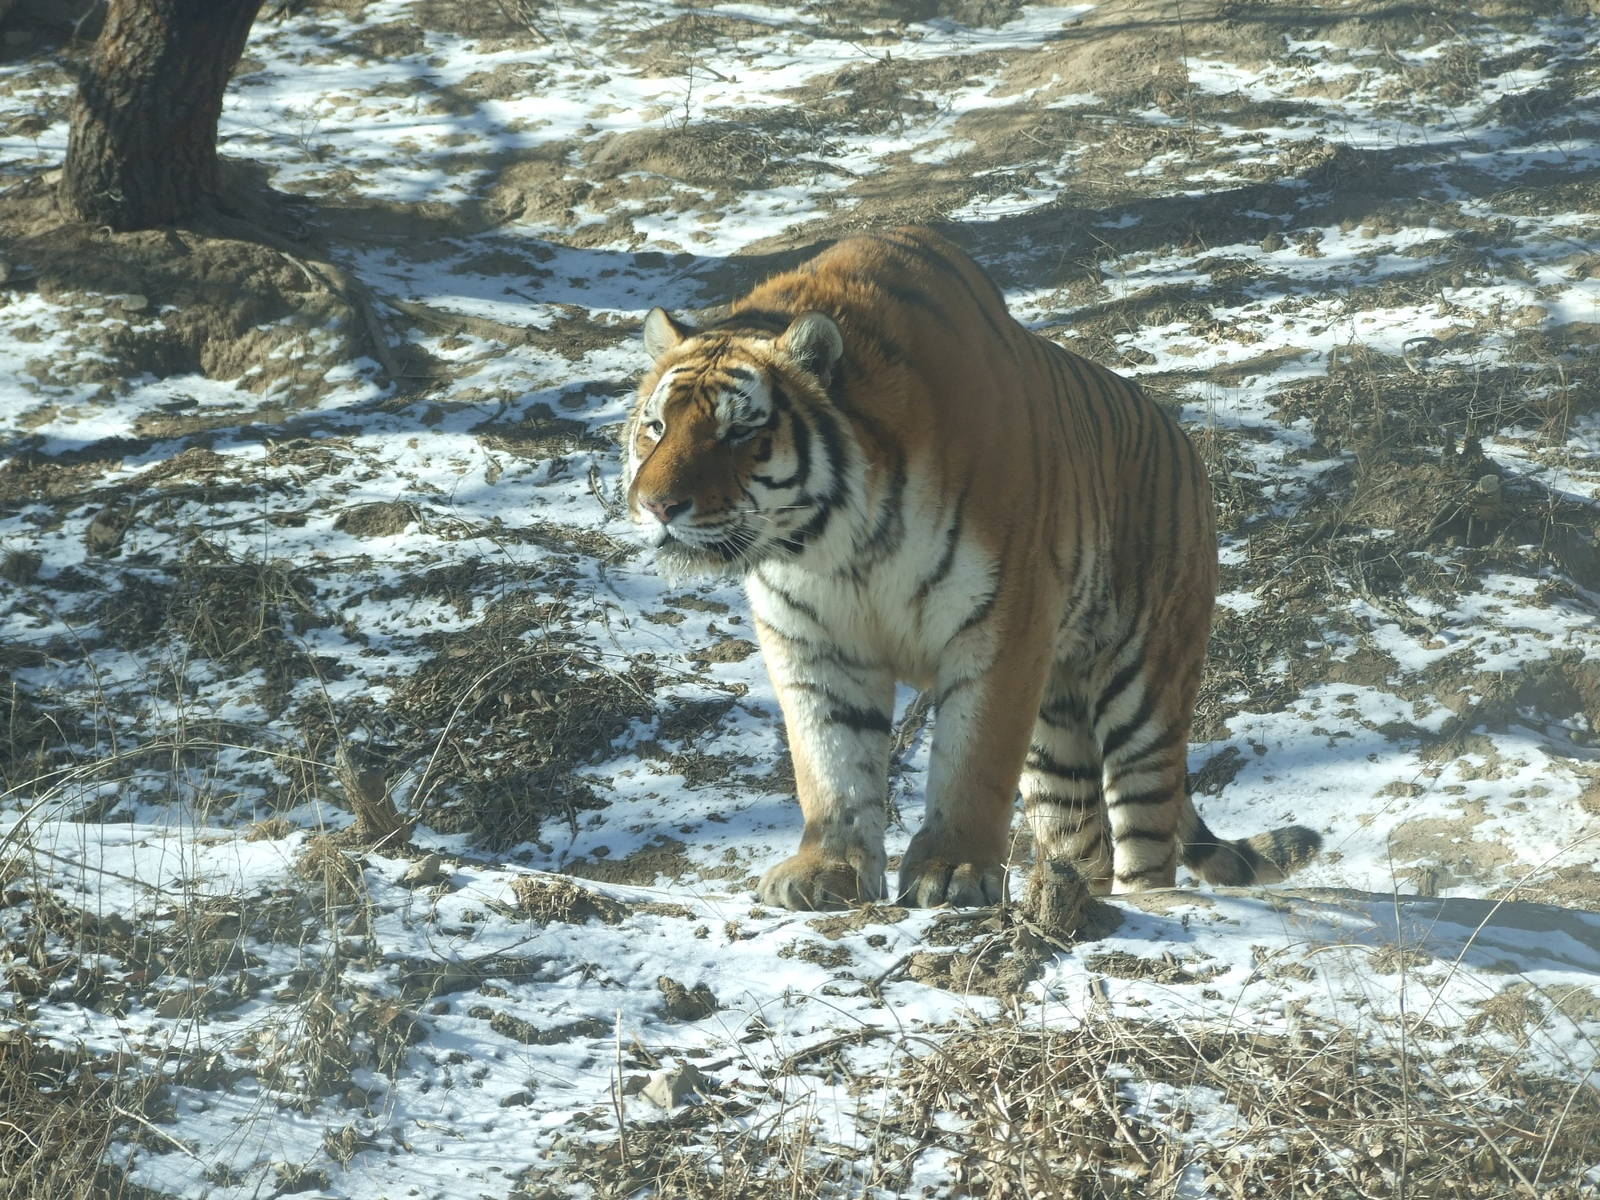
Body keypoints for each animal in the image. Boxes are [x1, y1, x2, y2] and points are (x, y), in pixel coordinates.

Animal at [622, 225, 1320, 910]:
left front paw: (952, 871)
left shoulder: (1000, 626)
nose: (655, 505)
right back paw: (1068, 897)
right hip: (1054, 727)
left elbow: (972, 763)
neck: (837, 544)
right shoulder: (813, 641)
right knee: (1083, 835)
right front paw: (827, 871)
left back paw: (1145, 903)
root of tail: (1181, 438)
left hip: (1145, 682)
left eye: (738, 432)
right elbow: (830, 764)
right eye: (655, 427)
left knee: (1146, 822)